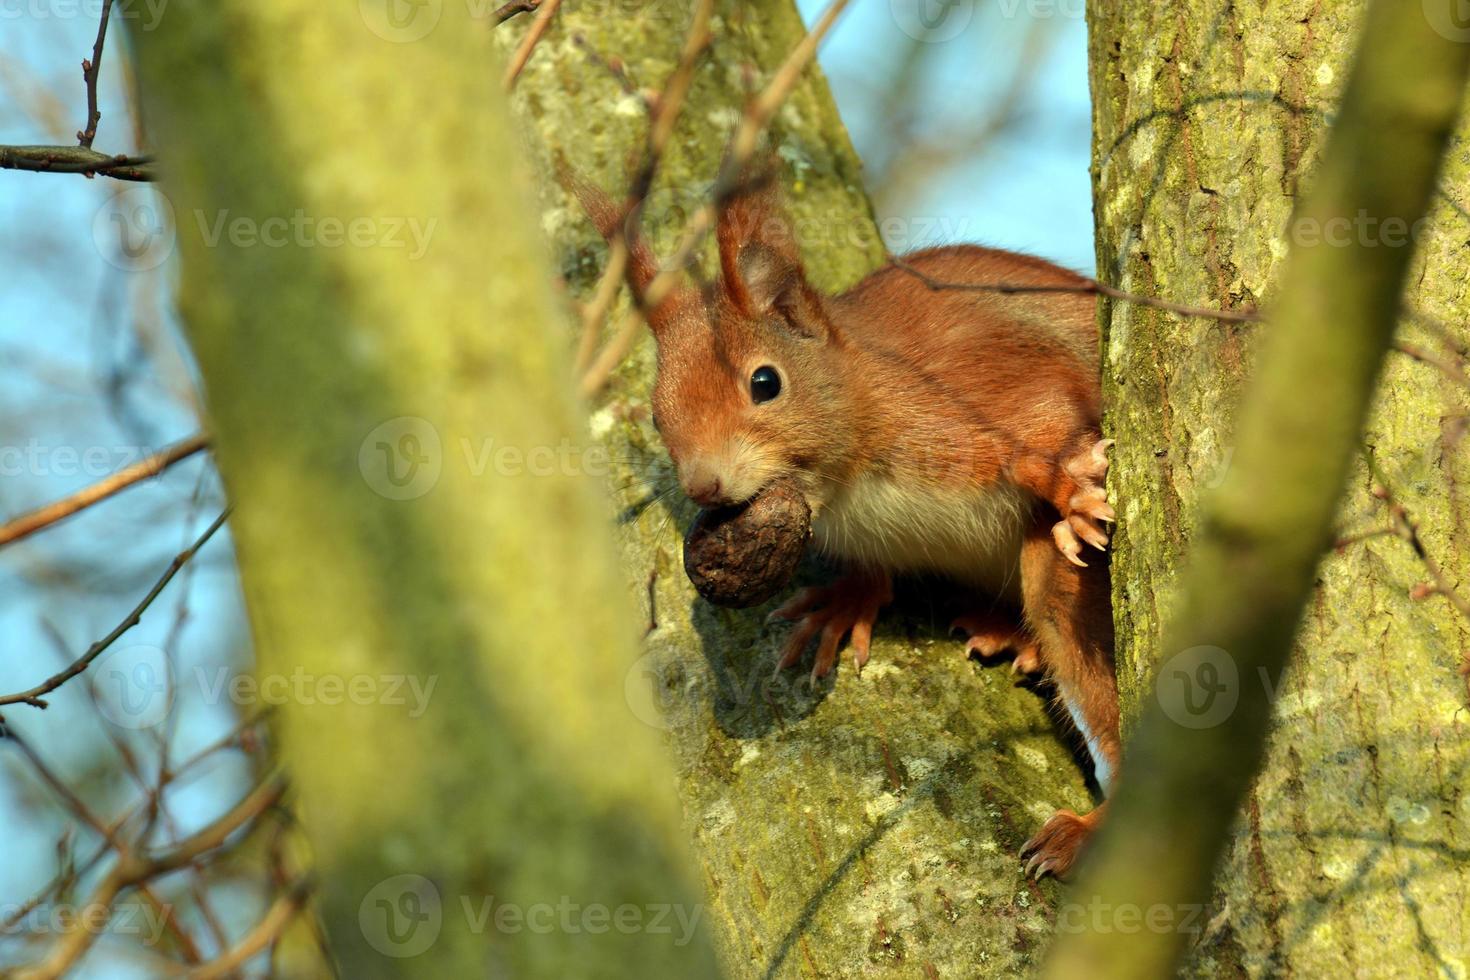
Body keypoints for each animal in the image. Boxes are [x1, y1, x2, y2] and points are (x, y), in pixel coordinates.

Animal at [573, 170, 1111, 881]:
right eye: (659, 416)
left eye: (765, 382)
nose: (702, 486)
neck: (843, 487)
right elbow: (866, 573)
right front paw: (845, 603)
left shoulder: (960, 399)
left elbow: (1043, 418)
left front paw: (1071, 490)